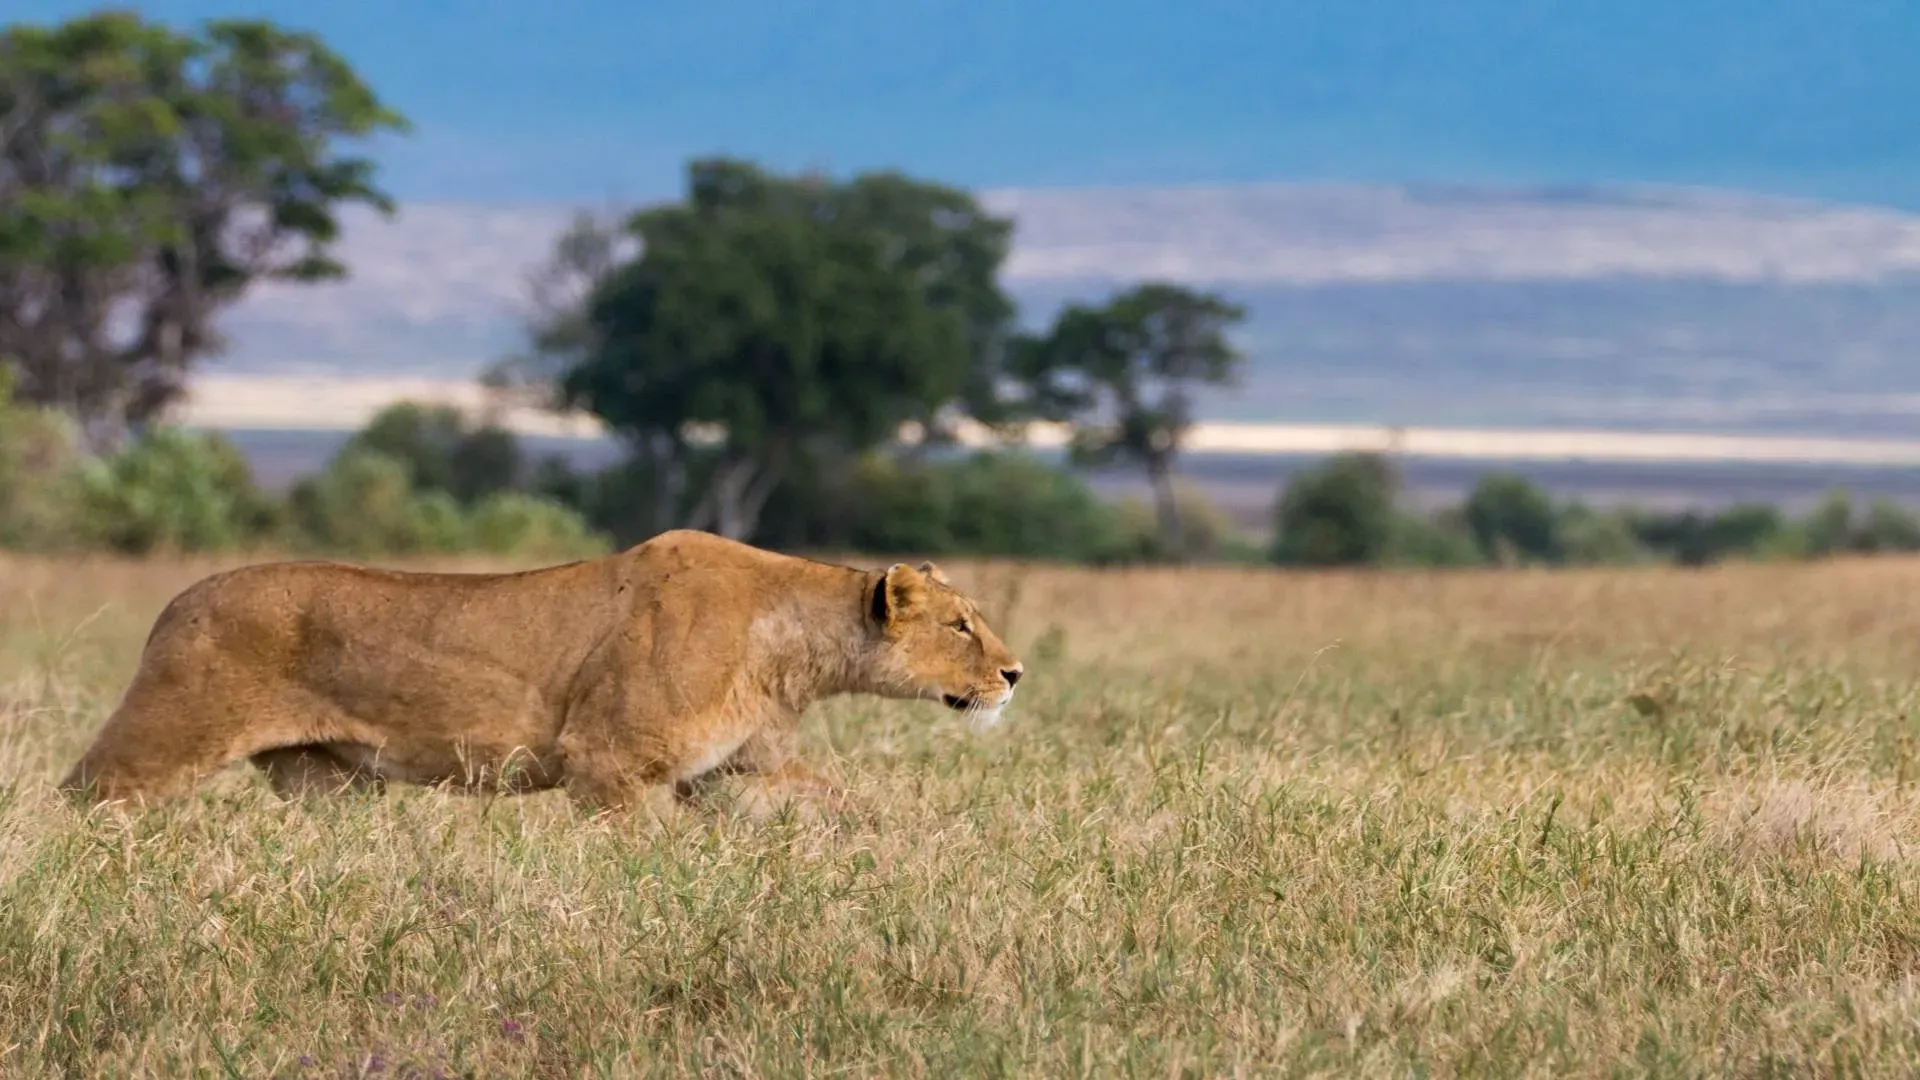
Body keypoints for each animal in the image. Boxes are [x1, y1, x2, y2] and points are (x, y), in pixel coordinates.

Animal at [58, 529, 1025, 811]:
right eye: (961, 626)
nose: (1015, 675)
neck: (789, 649)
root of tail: (174, 600)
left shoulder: (735, 769)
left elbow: (842, 801)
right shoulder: (609, 764)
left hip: (325, 783)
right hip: (162, 735)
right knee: (84, 793)